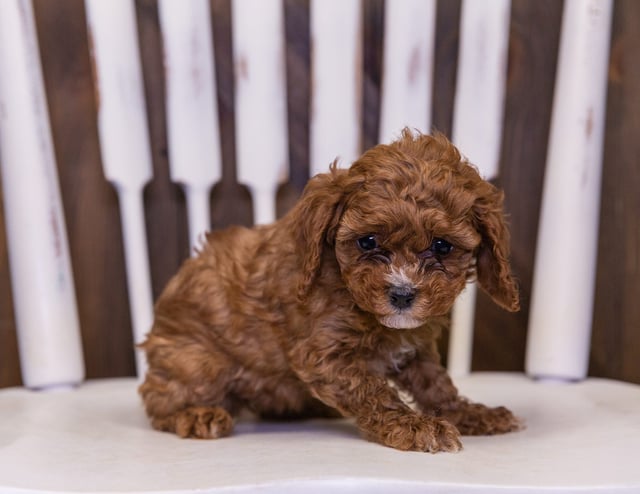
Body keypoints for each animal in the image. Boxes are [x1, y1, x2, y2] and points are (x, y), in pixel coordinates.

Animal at [140, 128, 520, 452]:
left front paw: (470, 414)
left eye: (442, 246)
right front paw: (415, 426)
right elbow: (373, 390)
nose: (402, 294)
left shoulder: (416, 348)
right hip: (199, 363)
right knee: (157, 401)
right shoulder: (324, 354)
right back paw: (196, 415)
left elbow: (437, 385)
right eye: (368, 242)